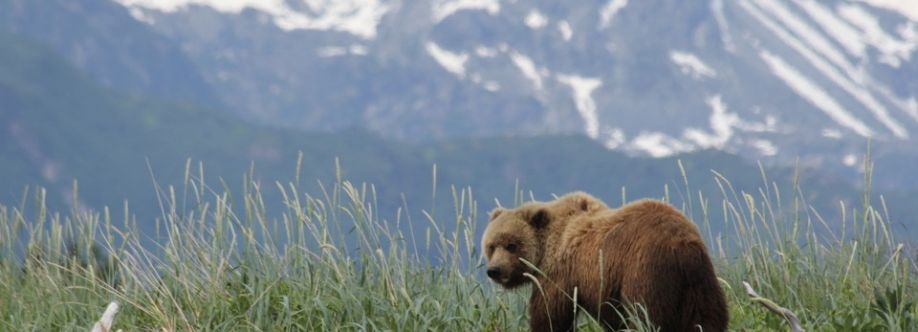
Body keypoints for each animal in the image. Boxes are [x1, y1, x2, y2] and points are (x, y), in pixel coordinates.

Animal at [486, 192, 728, 332]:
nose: (494, 270)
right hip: (699, 282)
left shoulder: (561, 274)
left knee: (646, 316)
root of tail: (682, 244)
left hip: (646, 271)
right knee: (707, 319)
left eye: (511, 245)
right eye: (491, 246)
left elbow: (550, 313)